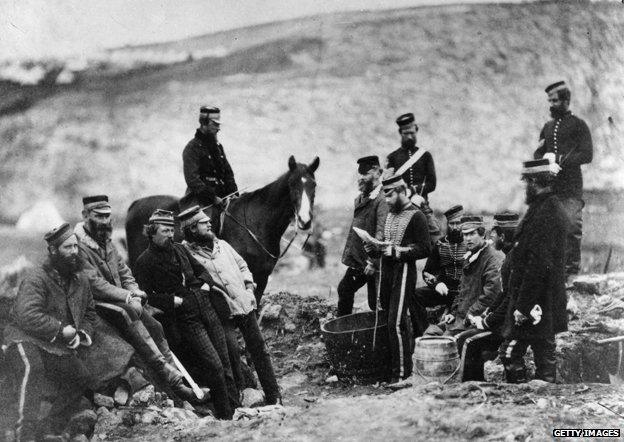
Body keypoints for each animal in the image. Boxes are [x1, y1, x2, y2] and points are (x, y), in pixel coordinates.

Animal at [124, 155, 320, 304]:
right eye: (292, 184)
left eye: (314, 185)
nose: (305, 221)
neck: (255, 223)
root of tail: (135, 204)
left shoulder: (261, 277)